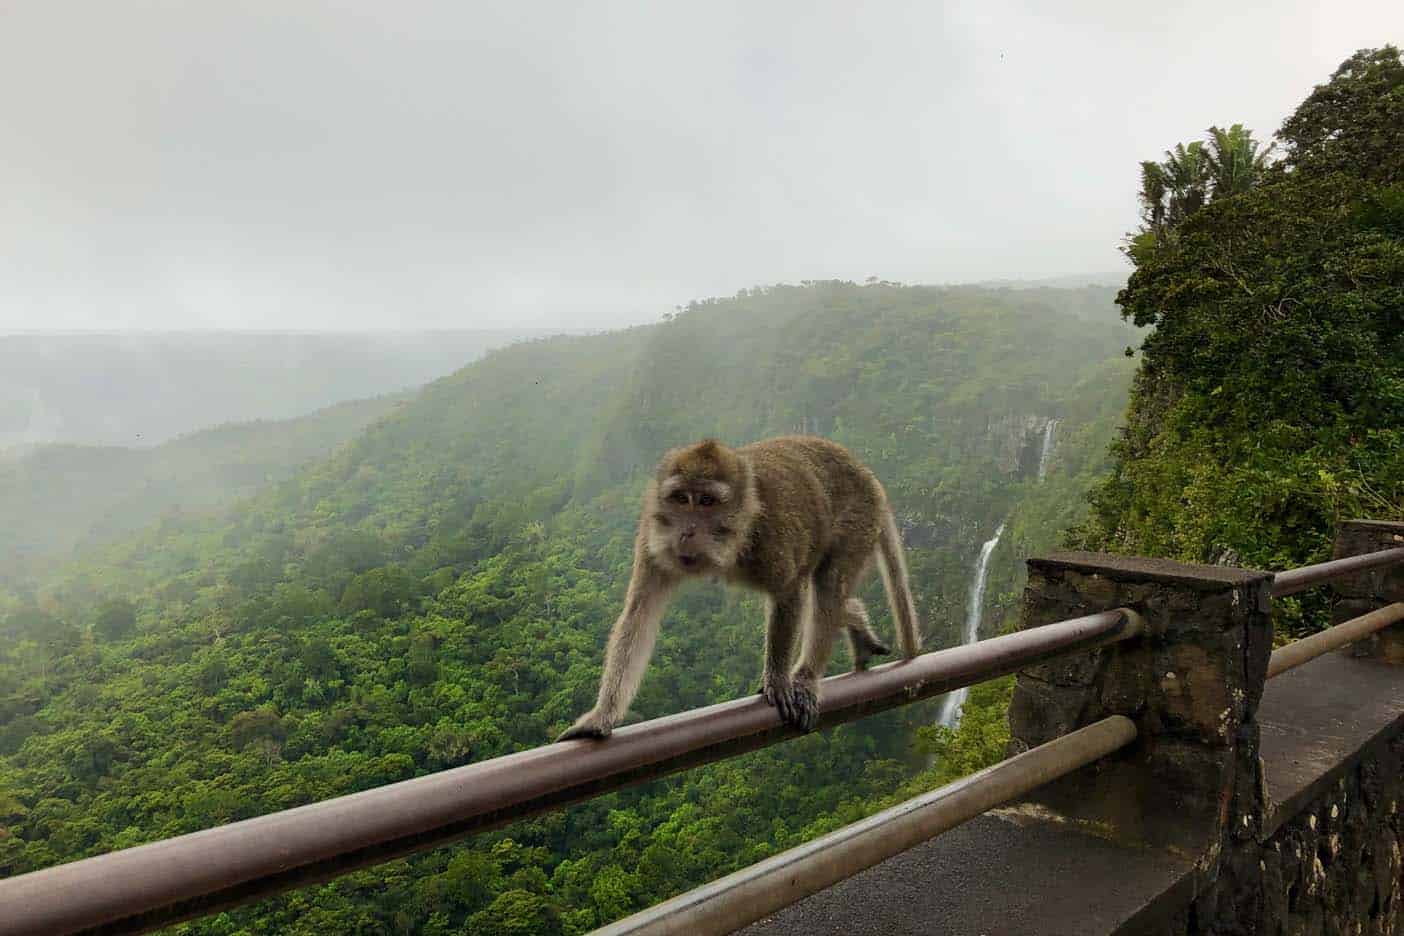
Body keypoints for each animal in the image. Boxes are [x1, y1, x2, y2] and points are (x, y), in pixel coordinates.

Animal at [558, 435, 921, 740]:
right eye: (681, 499)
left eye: (706, 501)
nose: (686, 532)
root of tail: (868, 475)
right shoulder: (652, 537)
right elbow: (639, 614)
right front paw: (601, 718)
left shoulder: (773, 535)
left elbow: (788, 592)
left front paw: (778, 680)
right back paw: (856, 621)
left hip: (859, 519)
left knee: (828, 586)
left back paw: (807, 677)